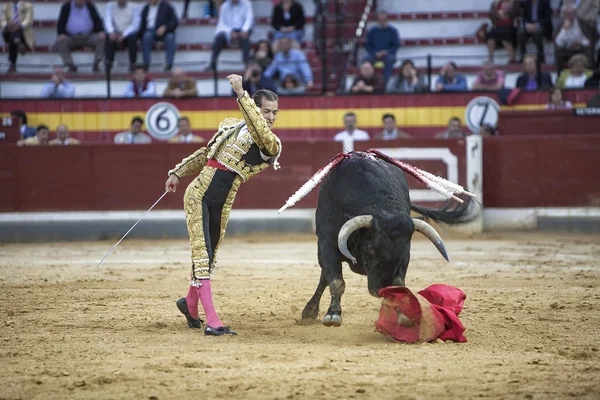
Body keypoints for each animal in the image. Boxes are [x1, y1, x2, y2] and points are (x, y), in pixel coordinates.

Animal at [300, 152, 478, 326]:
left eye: (399, 256)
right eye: (370, 251)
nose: (380, 290)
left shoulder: (406, 255)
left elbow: (398, 283)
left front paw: (402, 315)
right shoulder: (328, 245)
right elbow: (336, 282)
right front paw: (333, 315)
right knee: (325, 276)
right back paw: (309, 311)